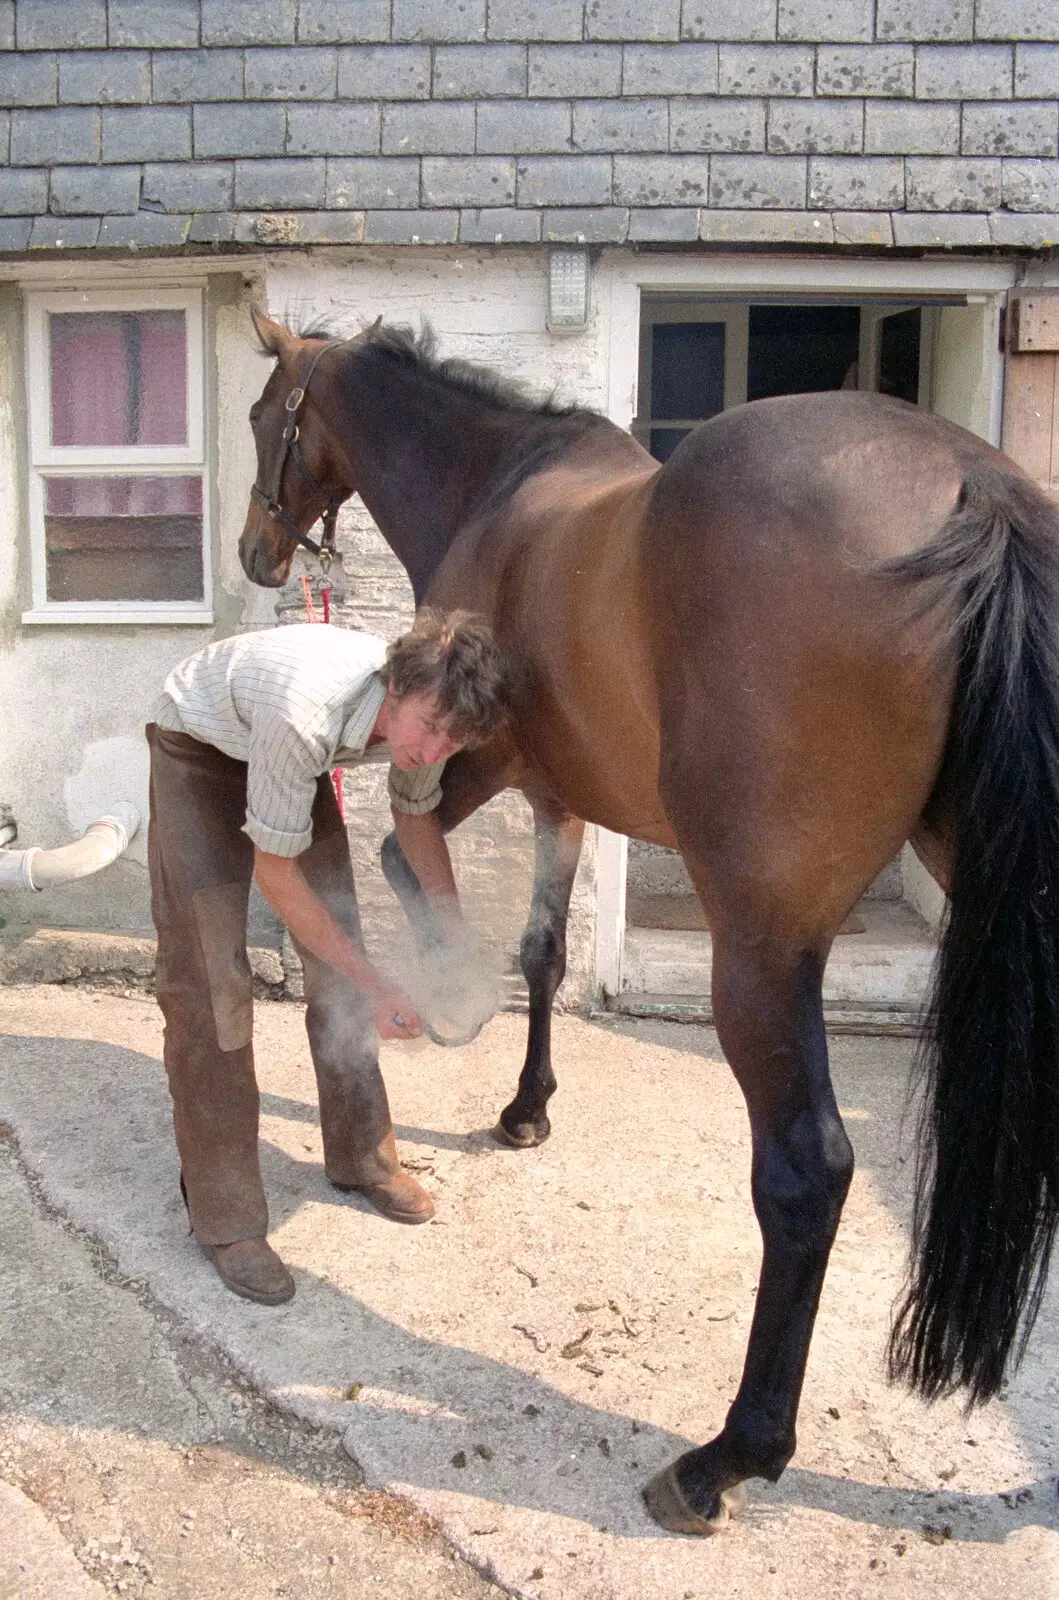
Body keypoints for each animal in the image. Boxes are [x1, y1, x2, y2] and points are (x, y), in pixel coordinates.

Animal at [238, 308, 1059, 1536]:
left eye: (260, 416)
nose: (257, 551)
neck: (498, 483)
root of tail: (975, 485)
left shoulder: (478, 765)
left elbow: (404, 861)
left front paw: (448, 1005)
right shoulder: (562, 799)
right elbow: (543, 950)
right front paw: (527, 1105)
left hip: (761, 949)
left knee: (805, 1173)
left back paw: (727, 1457)